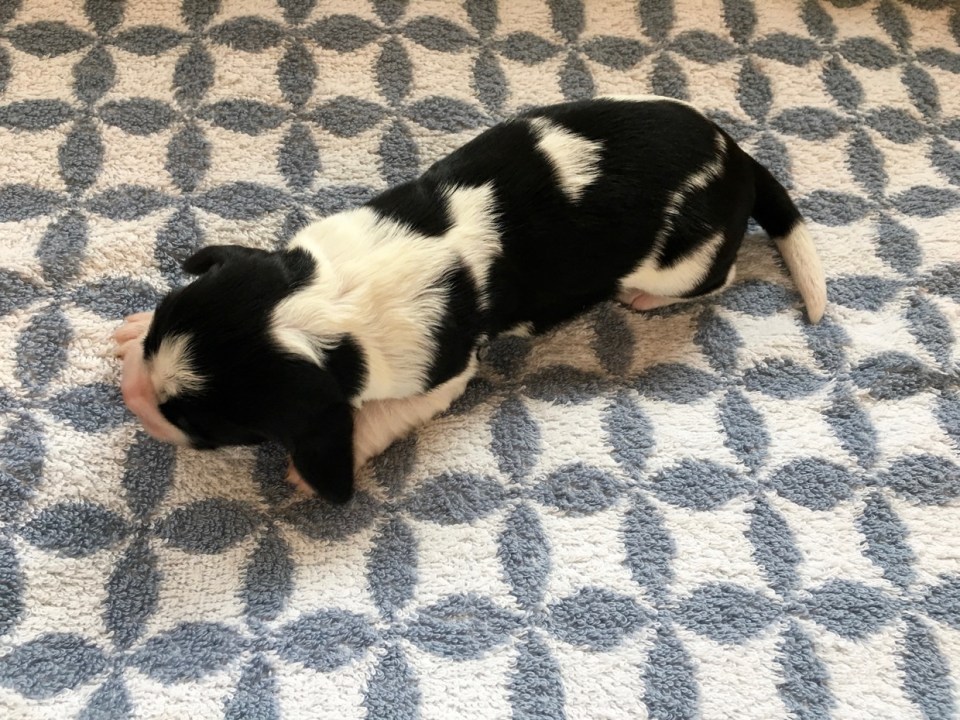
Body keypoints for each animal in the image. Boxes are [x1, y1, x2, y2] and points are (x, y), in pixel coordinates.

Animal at [114, 96, 826, 504]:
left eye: (200, 426)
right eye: (154, 336)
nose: (133, 398)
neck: (328, 297)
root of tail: (739, 157)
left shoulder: (443, 371)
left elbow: (380, 413)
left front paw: (319, 464)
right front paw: (127, 335)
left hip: (684, 265)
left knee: (717, 277)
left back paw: (643, 298)